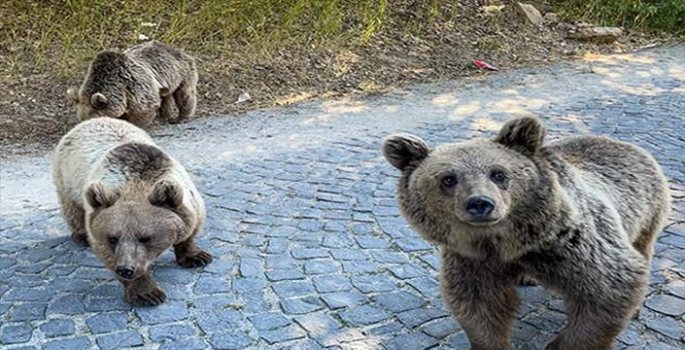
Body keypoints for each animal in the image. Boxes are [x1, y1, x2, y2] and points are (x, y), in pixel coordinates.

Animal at [52, 117, 211, 304]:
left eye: (146, 238)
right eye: (113, 238)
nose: (126, 269)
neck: (137, 183)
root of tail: (90, 121)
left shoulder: (189, 202)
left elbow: (191, 229)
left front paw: (196, 257)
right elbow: (106, 251)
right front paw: (148, 294)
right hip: (67, 177)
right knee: (73, 208)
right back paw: (80, 236)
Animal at [67, 40, 198, 129]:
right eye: (82, 120)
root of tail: (178, 50)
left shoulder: (135, 85)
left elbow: (144, 109)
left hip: (182, 73)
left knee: (184, 94)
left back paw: (182, 117)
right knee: (166, 98)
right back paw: (164, 116)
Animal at [382, 116, 672, 348]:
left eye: (498, 173)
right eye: (448, 179)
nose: (480, 203)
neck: (510, 243)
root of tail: (624, 144)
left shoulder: (571, 245)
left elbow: (609, 288)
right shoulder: (473, 259)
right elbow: (478, 304)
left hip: (646, 210)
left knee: (642, 247)